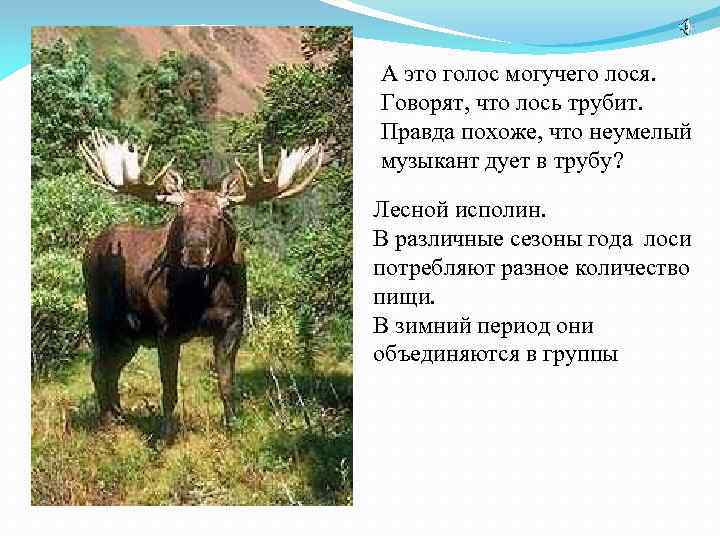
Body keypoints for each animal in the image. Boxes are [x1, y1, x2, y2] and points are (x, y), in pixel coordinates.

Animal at [78, 129, 323, 437]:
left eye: (219, 217)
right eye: (180, 215)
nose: (195, 252)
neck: (205, 295)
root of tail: (89, 248)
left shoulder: (233, 324)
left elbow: (227, 385)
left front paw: (233, 428)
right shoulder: (166, 329)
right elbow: (169, 391)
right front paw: (164, 435)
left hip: (129, 334)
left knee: (112, 369)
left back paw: (118, 415)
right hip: (99, 318)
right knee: (98, 369)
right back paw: (107, 422)